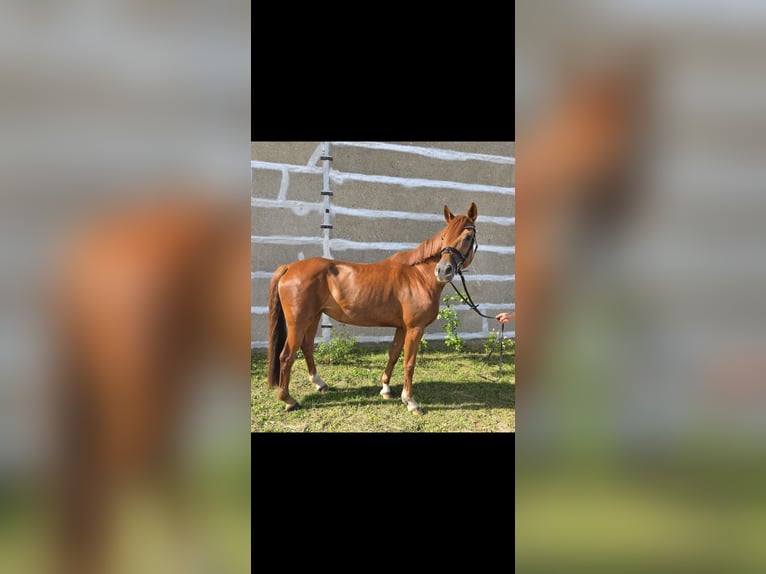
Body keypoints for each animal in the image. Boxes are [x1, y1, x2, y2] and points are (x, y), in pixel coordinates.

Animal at [267, 202, 479, 415]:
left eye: (468, 237)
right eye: (444, 237)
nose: (443, 270)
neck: (418, 275)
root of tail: (289, 267)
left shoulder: (402, 327)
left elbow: (393, 355)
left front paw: (385, 388)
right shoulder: (415, 328)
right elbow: (409, 363)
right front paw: (410, 401)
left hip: (314, 317)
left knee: (307, 346)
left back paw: (320, 384)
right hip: (298, 322)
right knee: (286, 356)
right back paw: (288, 399)